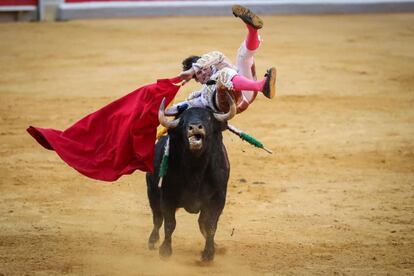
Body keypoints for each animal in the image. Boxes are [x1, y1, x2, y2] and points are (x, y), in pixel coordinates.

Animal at [146, 94, 236, 262]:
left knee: (202, 222)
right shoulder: (167, 196)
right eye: (182, 121)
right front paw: (165, 250)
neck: (196, 170)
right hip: (152, 192)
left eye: (208, 118)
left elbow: (210, 225)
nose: (194, 127)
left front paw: (208, 254)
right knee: (157, 218)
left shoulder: (218, 198)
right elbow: (169, 223)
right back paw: (153, 241)